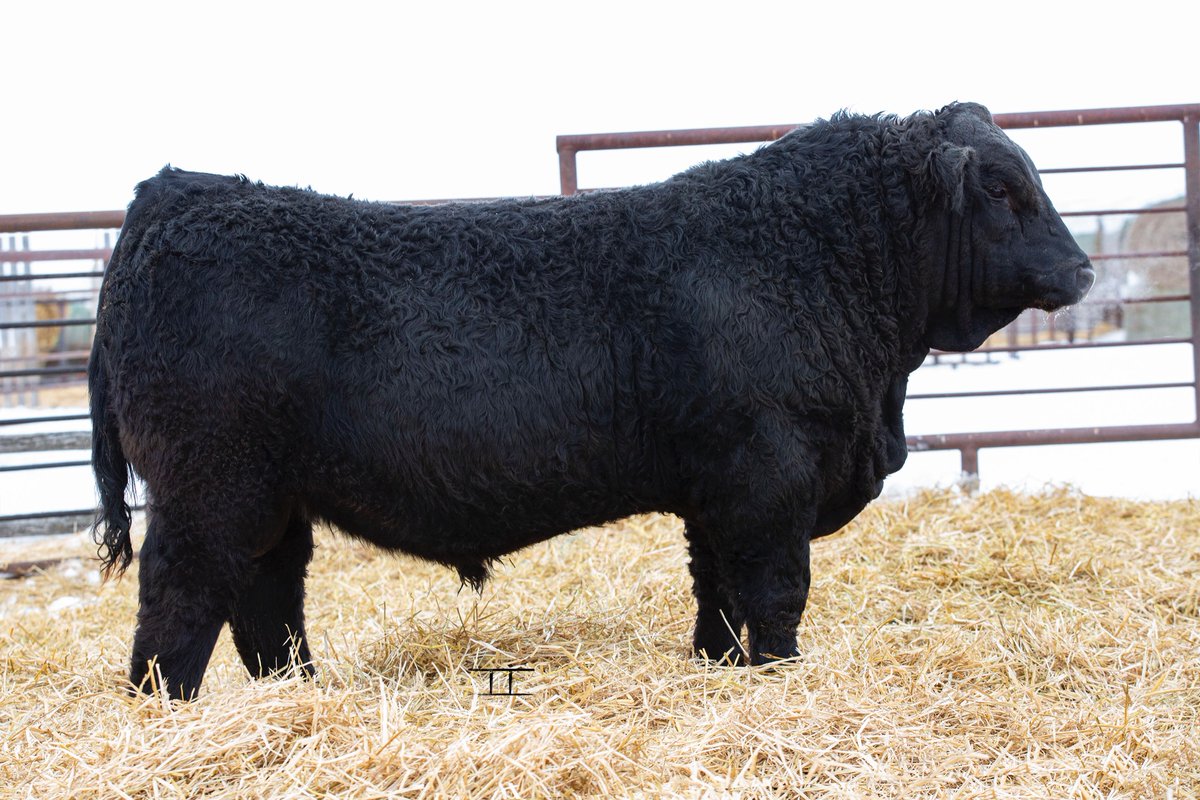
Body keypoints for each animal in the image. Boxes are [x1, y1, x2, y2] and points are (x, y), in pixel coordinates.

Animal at [89, 102, 1093, 699]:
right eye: (1003, 187)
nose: (1083, 269)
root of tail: (173, 196)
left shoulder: (715, 489)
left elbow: (716, 595)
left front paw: (716, 670)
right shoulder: (769, 479)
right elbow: (776, 595)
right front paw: (778, 680)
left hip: (271, 501)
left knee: (267, 605)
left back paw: (295, 697)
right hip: (208, 488)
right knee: (179, 602)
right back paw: (165, 712)